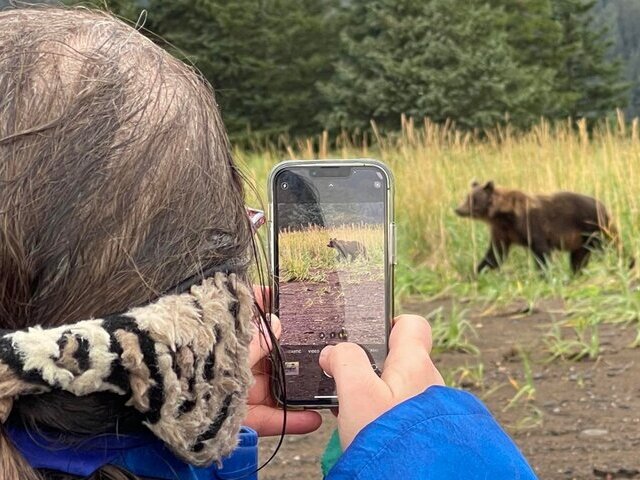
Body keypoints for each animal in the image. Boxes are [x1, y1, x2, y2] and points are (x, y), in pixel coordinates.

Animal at [452, 181, 632, 274]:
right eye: (467, 197)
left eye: (473, 200)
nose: (458, 209)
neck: (502, 215)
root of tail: (603, 205)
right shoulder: (502, 232)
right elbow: (495, 255)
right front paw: (475, 272)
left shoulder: (531, 224)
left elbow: (541, 251)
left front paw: (544, 274)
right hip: (581, 239)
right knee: (579, 257)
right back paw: (576, 273)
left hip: (592, 226)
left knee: (609, 245)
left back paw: (626, 262)